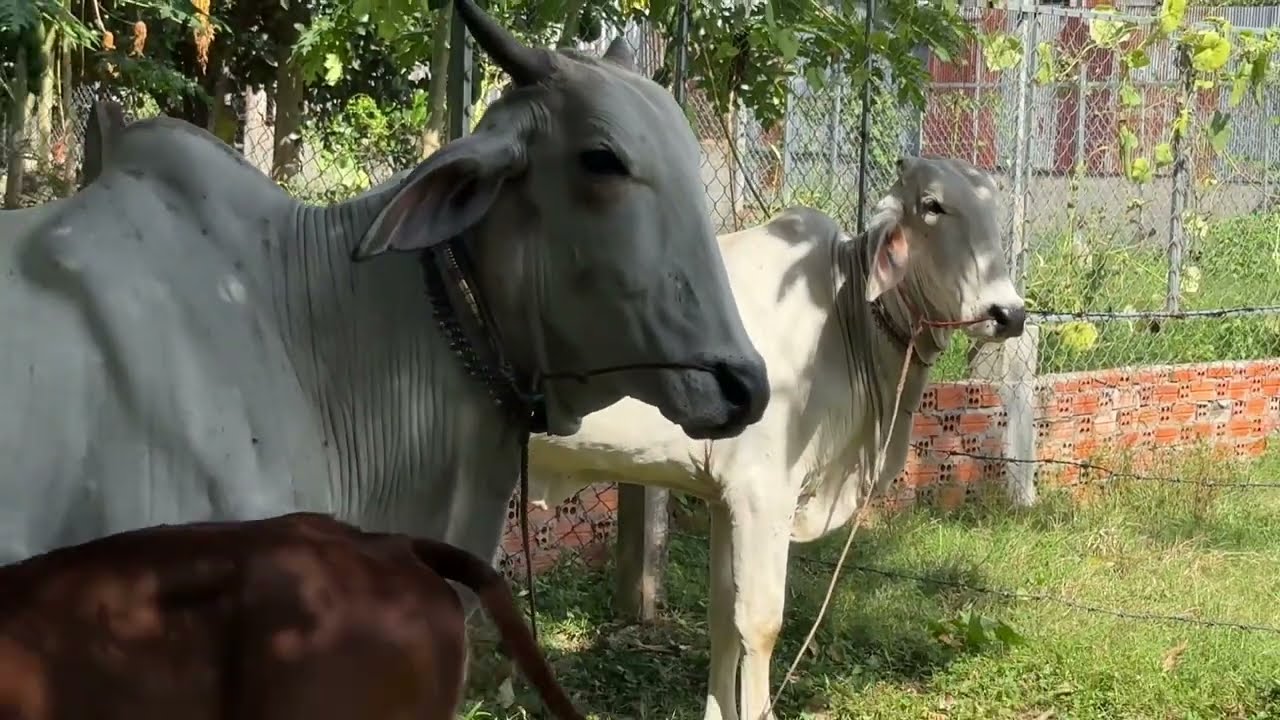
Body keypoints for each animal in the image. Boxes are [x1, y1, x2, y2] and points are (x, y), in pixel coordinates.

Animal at [526, 155, 1028, 720]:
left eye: (994, 203)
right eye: (932, 205)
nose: (1009, 314)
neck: (842, 312)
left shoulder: (722, 496)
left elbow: (724, 618)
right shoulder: (762, 492)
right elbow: (759, 624)